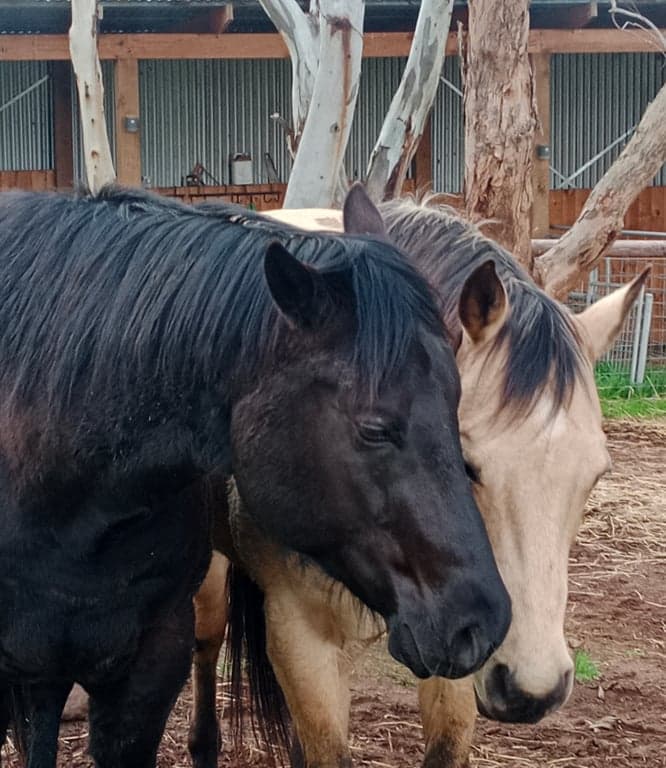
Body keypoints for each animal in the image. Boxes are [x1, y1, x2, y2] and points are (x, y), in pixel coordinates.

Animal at [186, 187, 648, 768]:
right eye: (469, 464)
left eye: (594, 476)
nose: (532, 690)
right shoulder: (300, 634)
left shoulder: (463, 643)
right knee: (208, 639)